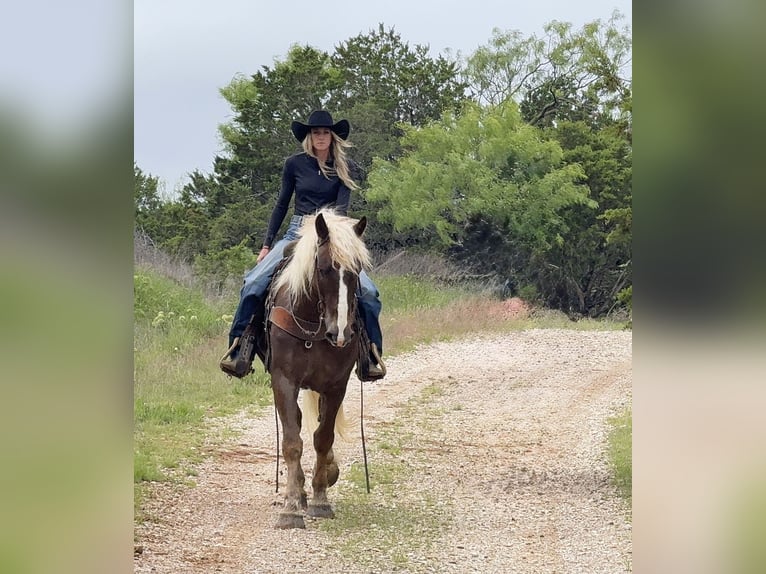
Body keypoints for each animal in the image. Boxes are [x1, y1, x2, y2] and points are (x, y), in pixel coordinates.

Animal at [265, 208, 371, 529]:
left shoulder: (336, 385)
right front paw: (290, 508)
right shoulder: (283, 381)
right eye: (324, 269)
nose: (341, 333)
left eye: (356, 271)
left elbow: (323, 438)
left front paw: (321, 499)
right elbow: (292, 442)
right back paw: (299, 492)